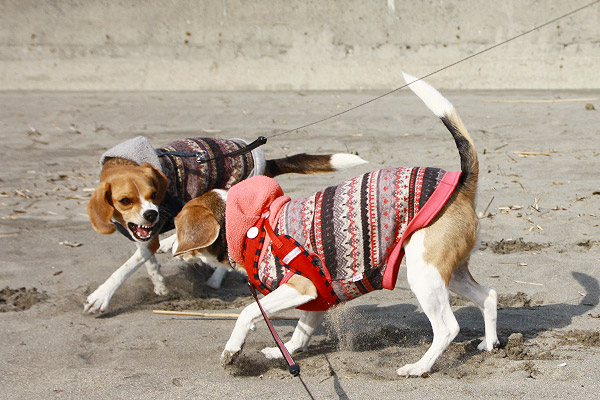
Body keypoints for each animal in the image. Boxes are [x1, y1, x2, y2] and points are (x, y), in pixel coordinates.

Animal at [84, 136, 366, 314]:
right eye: (125, 200)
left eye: (154, 194)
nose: (152, 214)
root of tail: (264, 161)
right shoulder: (141, 234)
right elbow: (146, 260)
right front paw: (159, 283)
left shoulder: (149, 234)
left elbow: (125, 268)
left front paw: (102, 295)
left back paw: (212, 275)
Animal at [176, 75, 500, 378]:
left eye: (177, 227)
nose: (168, 246)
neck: (253, 224)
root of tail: (462, 184)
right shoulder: (317, 295)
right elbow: (301, 333)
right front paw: (283, 352)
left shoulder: (299, 286)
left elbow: (247, 312)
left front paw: (233, 350)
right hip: (449, 273)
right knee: (488, 297)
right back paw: (489, 343)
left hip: (424, 275)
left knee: (447, 328)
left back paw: (419, 367)